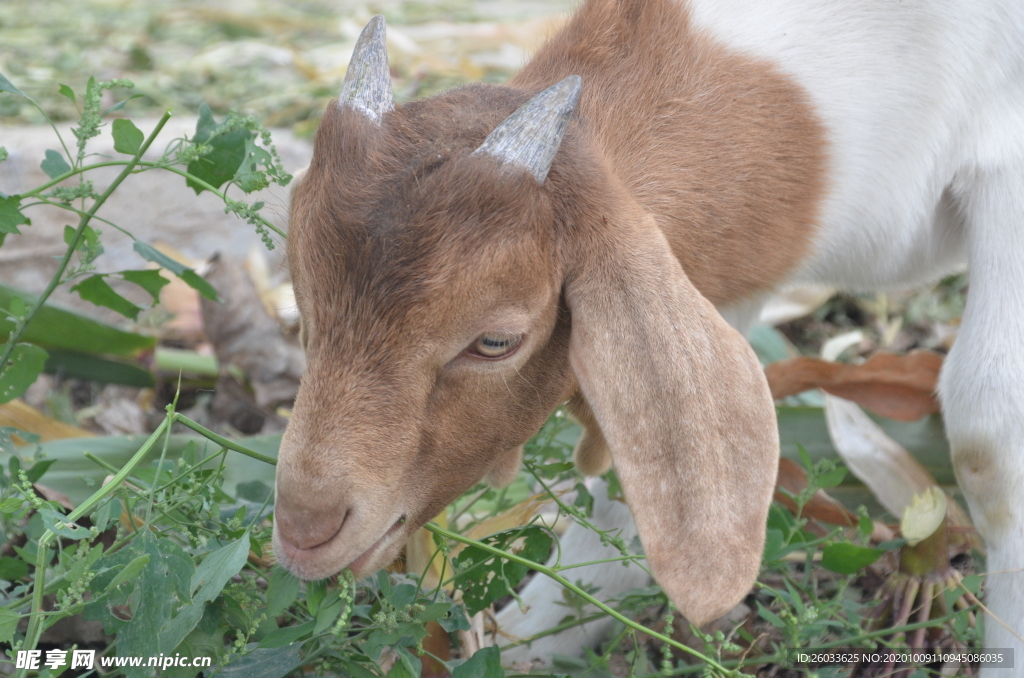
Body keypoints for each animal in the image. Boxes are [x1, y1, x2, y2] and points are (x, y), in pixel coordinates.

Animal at [272, 0, 1024, 667]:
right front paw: (525, 644)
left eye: (496, 340)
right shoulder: (727, 267)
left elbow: (990, 432)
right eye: (303, 296)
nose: (306, 529)